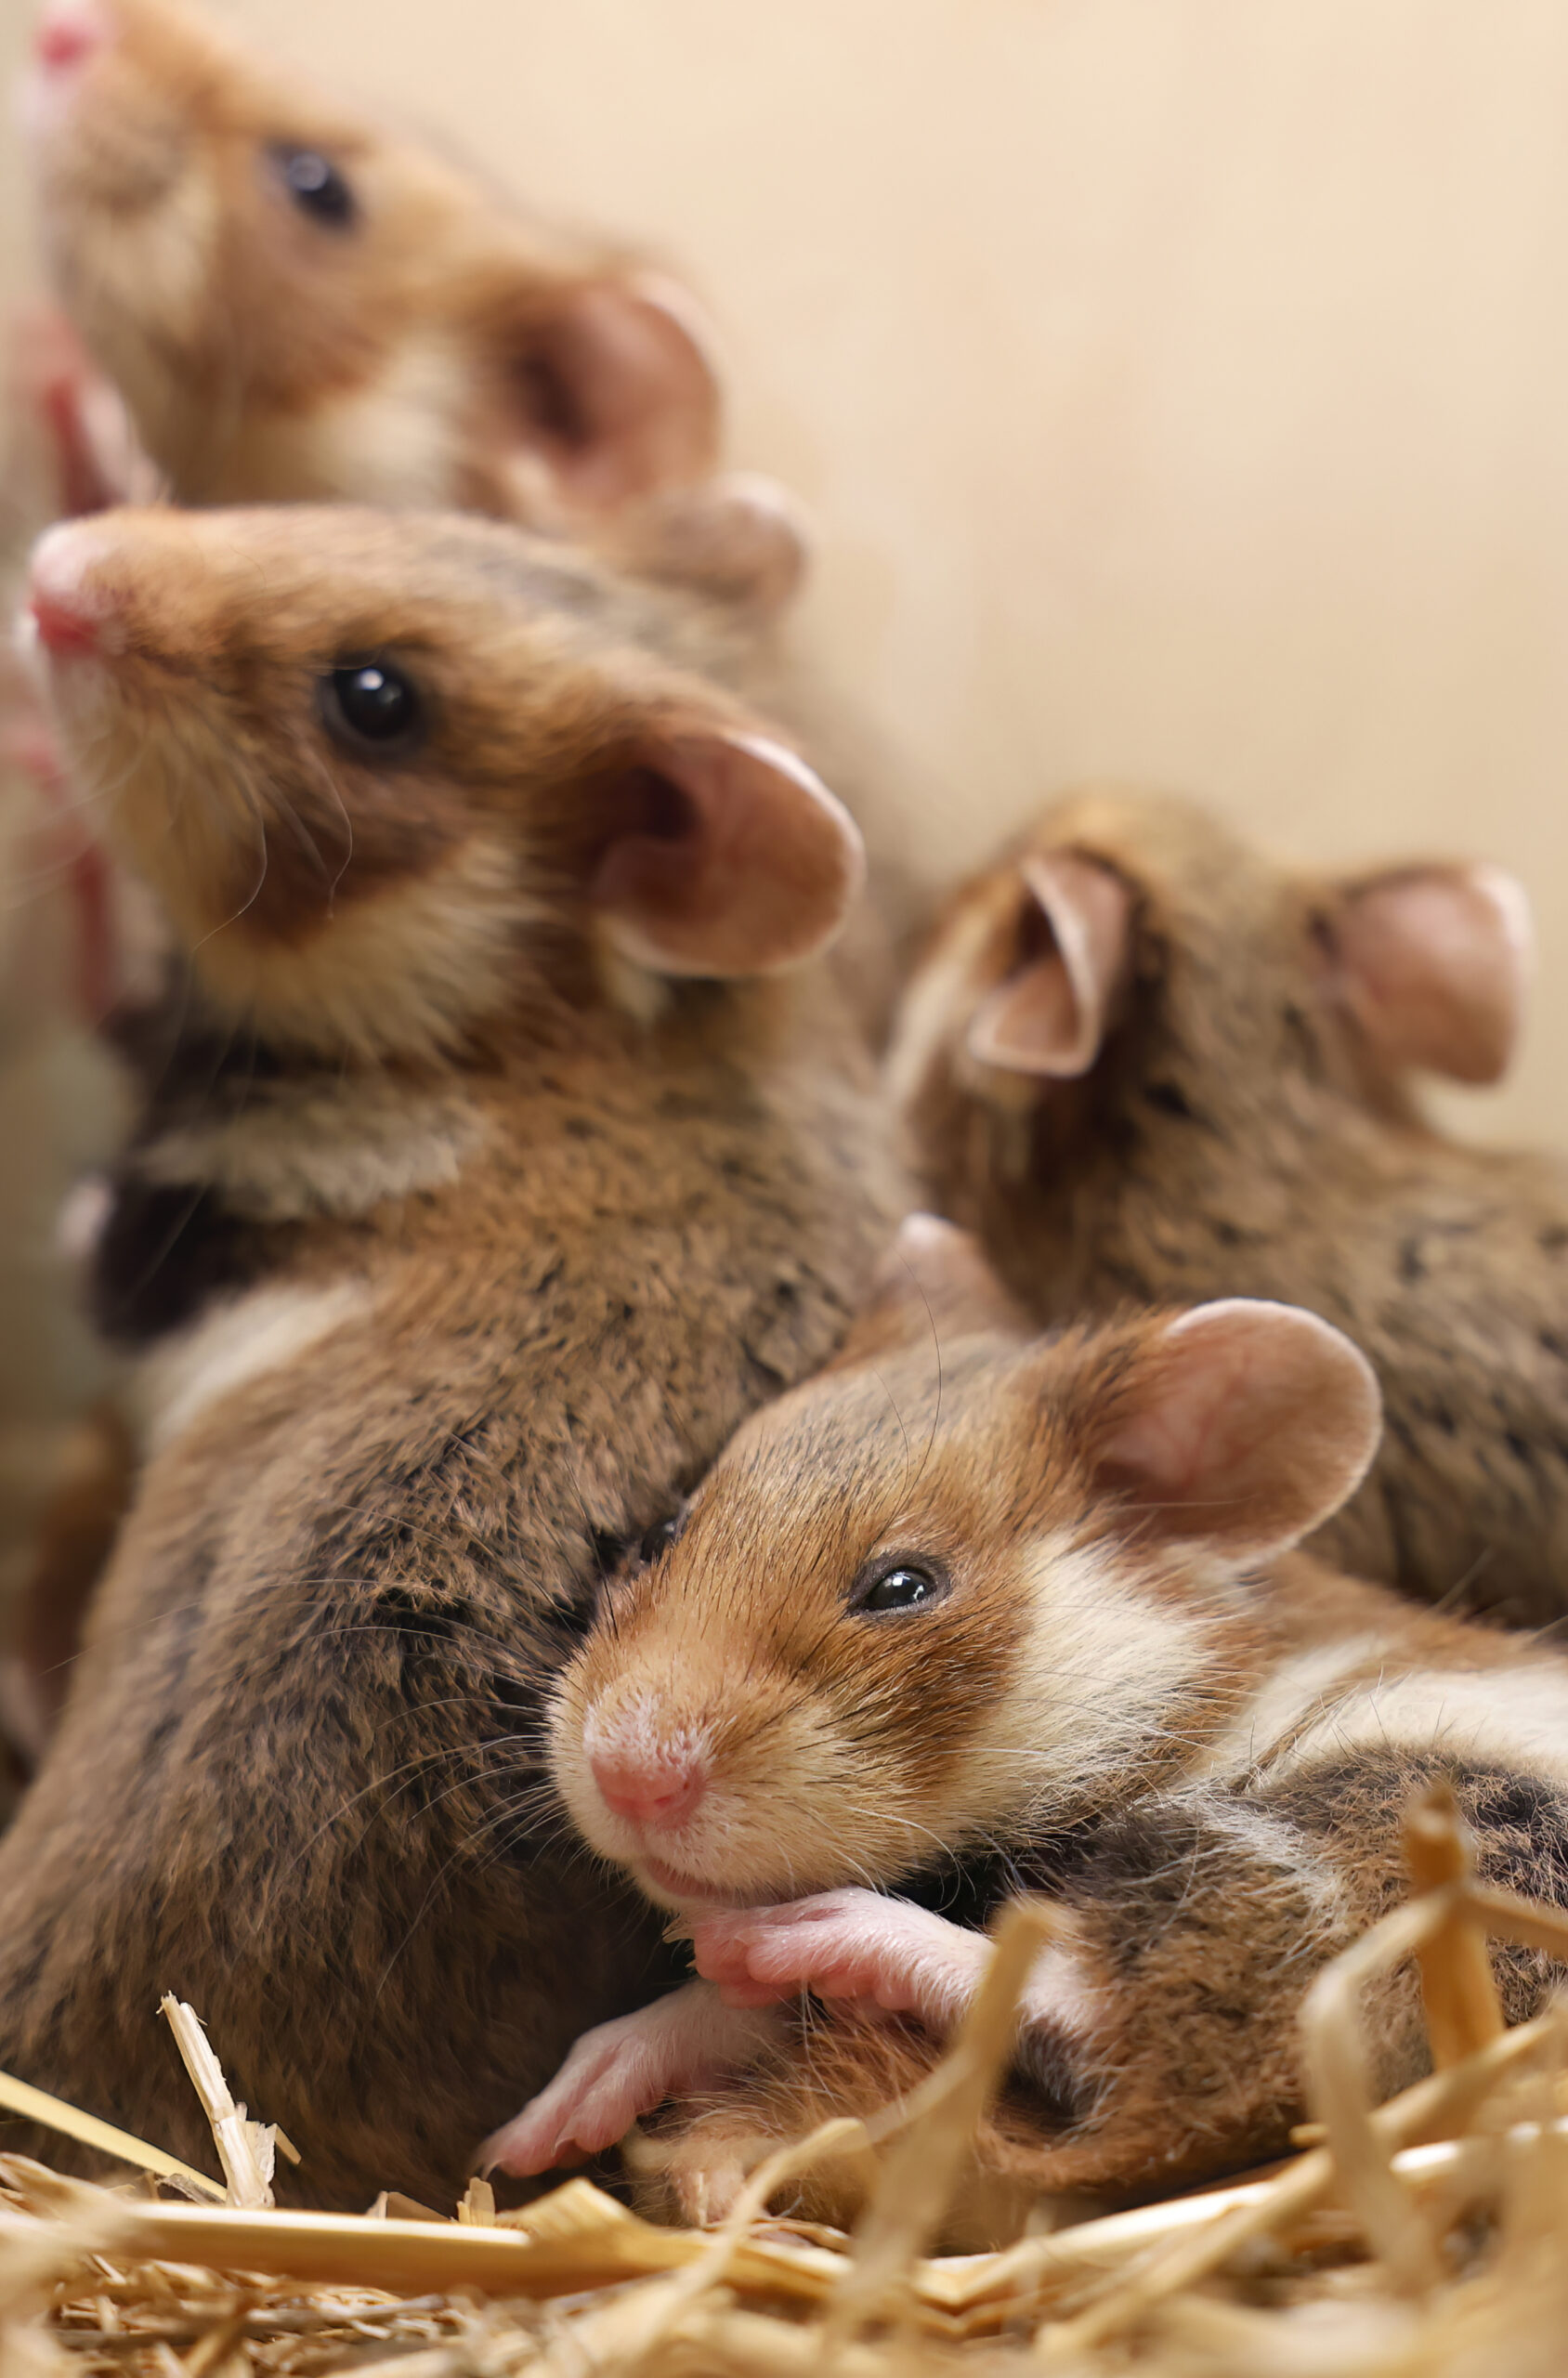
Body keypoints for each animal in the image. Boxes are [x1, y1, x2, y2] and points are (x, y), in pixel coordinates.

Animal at [494, 1217, 1568, 2235]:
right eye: (663, 1533)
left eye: (904, 1586)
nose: (628, 1775)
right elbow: (720, 2010)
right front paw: (533, 2133)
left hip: (1405, 1833)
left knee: (1117, 2009)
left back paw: (799, 1936)